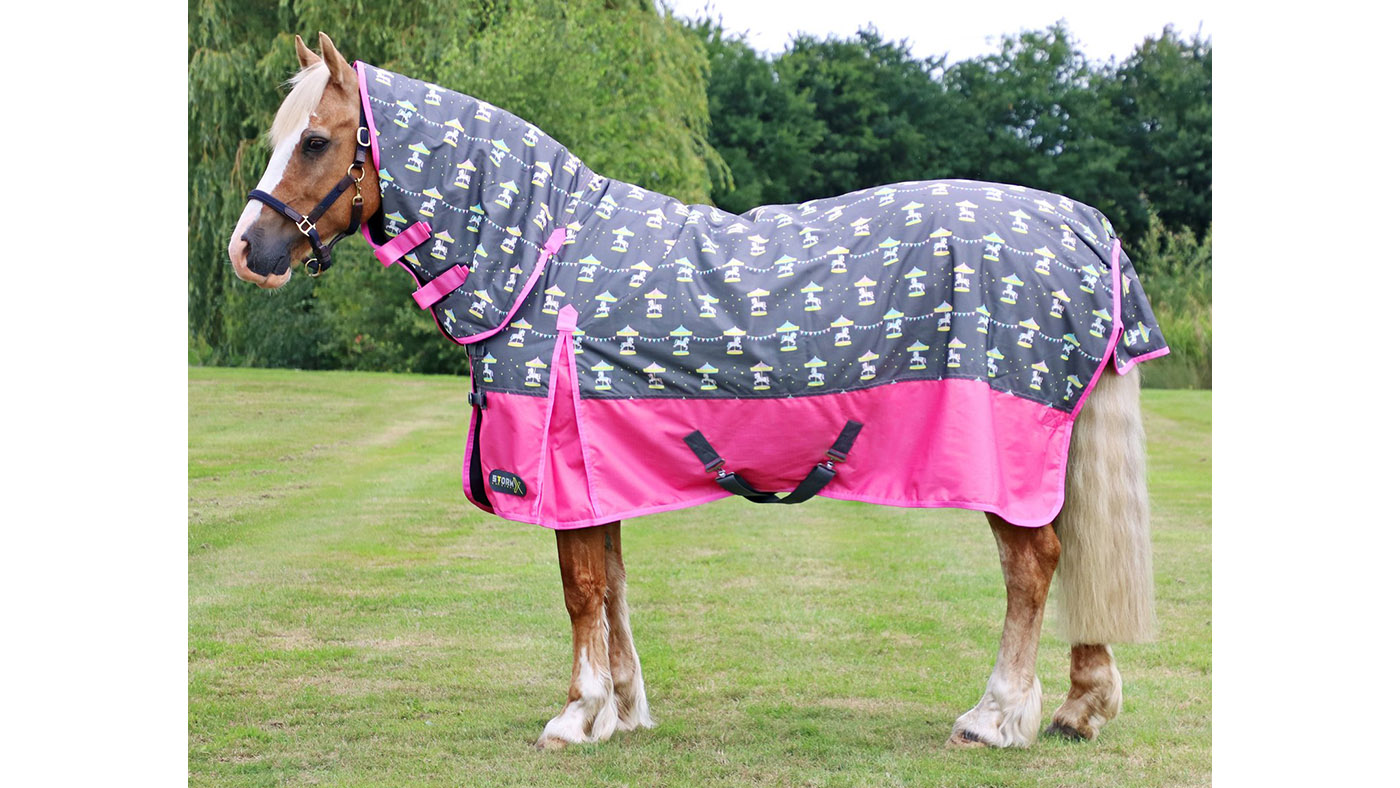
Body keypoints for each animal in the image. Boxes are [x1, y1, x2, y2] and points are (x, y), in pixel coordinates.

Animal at [226, 33, 1163, 750]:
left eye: (315, 141)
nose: (248, 251)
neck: (539, 258)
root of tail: (1083, 227)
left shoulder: (562, 464)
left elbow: (581, 588)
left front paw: (576, 716)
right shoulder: (598, 463)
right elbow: (611, 581)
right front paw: (620, 710)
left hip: (1007, 455)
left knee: (1033, 568)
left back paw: (995, 717)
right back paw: (1079, 709)